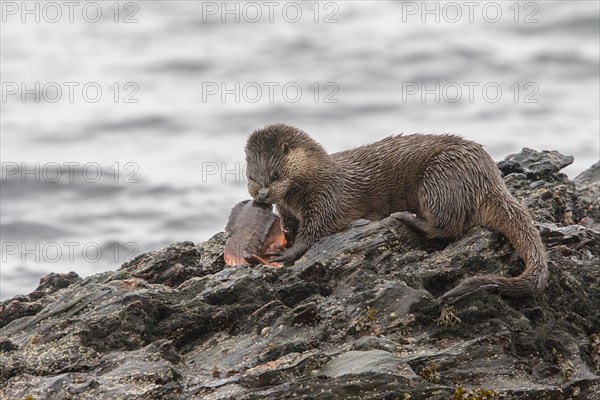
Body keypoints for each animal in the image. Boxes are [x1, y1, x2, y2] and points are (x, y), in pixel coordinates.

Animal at [244, 123, 548, 302]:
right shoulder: (288, 209)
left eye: (275, 174)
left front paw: (286, 254)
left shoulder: (328, 198)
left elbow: (316, 231)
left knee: (450, 226)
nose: (263, 195)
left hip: (440, 177)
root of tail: (489, 176)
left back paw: (405, 218)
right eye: (251, 176)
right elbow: (290, 227)